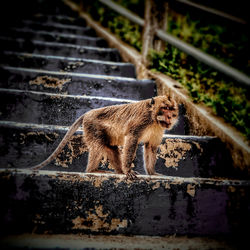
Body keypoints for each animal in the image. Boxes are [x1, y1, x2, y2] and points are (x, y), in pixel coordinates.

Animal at [30, 95, 178, 180]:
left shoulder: (158, 129)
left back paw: (119, 171)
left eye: (172, 110)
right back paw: (93, 170)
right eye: (165, 108)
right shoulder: (141, 121)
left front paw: (152, 173)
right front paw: (128, 171)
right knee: (97, 146)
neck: (153, 119)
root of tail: (88, 113)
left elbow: (151, 147)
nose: (169, 117)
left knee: (110, 148)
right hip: (92, 126)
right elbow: (131, 139)